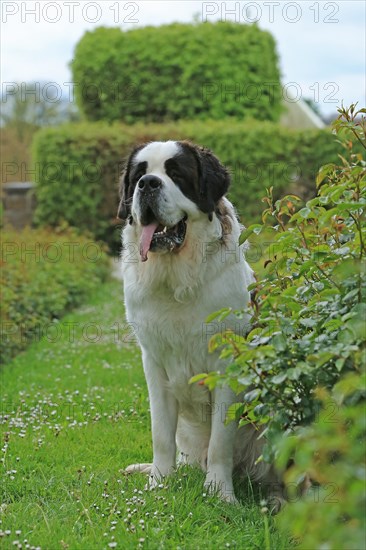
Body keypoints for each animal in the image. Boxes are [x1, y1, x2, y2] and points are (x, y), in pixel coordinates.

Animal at [118, 140, 284, 512]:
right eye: (138, 175)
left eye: (177, 174)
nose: (148, 184)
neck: (176, 279)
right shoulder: (154, 363)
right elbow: (161, 435)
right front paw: (158, 484)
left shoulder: (227, 366)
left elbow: (221, 439)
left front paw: (220, 493)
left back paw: (277, 499)